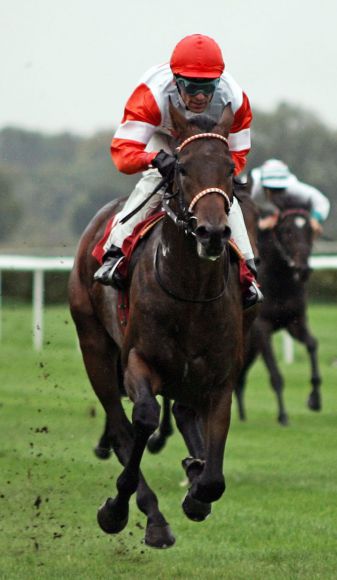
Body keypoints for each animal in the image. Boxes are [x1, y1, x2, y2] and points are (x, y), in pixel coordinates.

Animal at [69, 104, 255, 548]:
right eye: (183, 168)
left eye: (229, 169)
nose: (212, 232)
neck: (190, 290)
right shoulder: (138, 360)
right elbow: (144, 419)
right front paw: (117, 508)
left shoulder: (220, 378)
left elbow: (215, 478)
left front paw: (197, 488)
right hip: (95, 348)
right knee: (121, 426)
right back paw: (149, 515)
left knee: (184, 412)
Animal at [234, 193, 320, 424]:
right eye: (287, 231)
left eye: (309, 231)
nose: (303, 269)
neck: (281, 283)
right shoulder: (262, 327)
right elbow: (274, 373)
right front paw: (283, 415)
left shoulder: (294, 321)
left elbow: (312, 345)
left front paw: (314, 399)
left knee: (239, 377)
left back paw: (242, 416)